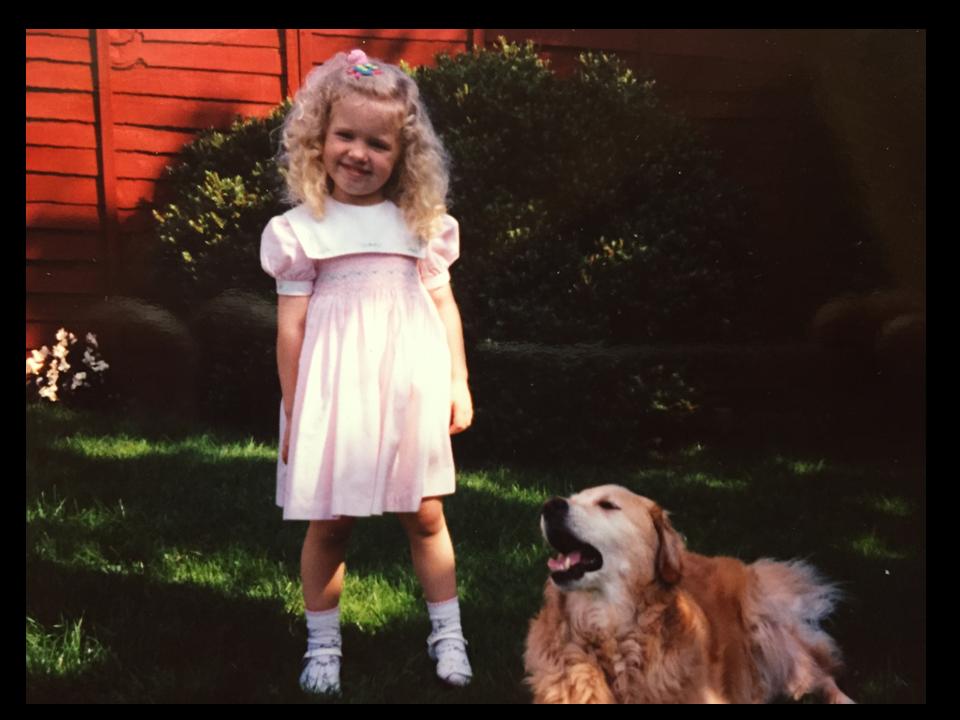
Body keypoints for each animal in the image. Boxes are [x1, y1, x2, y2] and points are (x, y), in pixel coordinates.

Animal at [524, 485, 854, 704]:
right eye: (570, 498)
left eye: (607, 505)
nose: (550, 505)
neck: (611, 637)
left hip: (767, 633)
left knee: (821, 675)